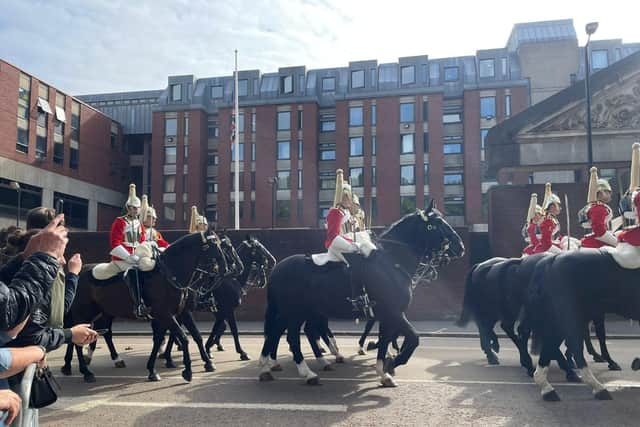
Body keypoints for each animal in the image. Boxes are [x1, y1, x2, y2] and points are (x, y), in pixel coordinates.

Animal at [63, 232, 229, 382]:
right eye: (213, 246)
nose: (225, 270)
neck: (169, 275)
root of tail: (79, 272)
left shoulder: (180, 313)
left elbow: (192, 336)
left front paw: (154, 369)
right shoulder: (165, 314)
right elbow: (182, 337)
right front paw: (187, 371)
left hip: (102, 312)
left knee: (101, 333)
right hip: (83, 312)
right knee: (79, 339)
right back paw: (86, 372)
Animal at [258, 206, 462, 390]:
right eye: (437, 223)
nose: (460, 247)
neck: (391, 263)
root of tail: (278, 268)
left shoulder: (387, 315)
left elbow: (386, 339)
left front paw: (384, 371)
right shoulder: (393, 312)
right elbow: (413, 338)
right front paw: (393, 362)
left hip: (302, 312)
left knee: (284, 332)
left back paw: (273, 367)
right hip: (294, 312)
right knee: (290, 336)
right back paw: (304, 372)